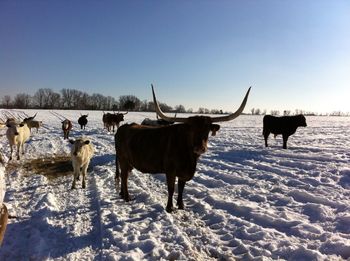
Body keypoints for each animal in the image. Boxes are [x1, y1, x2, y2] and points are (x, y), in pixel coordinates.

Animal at [113, 85, 250, 211]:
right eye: (191, 129)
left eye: (207, 129)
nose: (200, 147)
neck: (190, 158)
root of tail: (122, 127)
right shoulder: (170, 171)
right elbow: (171, 189)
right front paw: (169, 208)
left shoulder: (184, 173)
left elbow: (181, 188)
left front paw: (181, 205)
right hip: (123, 160)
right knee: (124, 177)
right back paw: (127, 197)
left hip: (128, 162)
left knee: (124, 176)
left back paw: (122, 194)